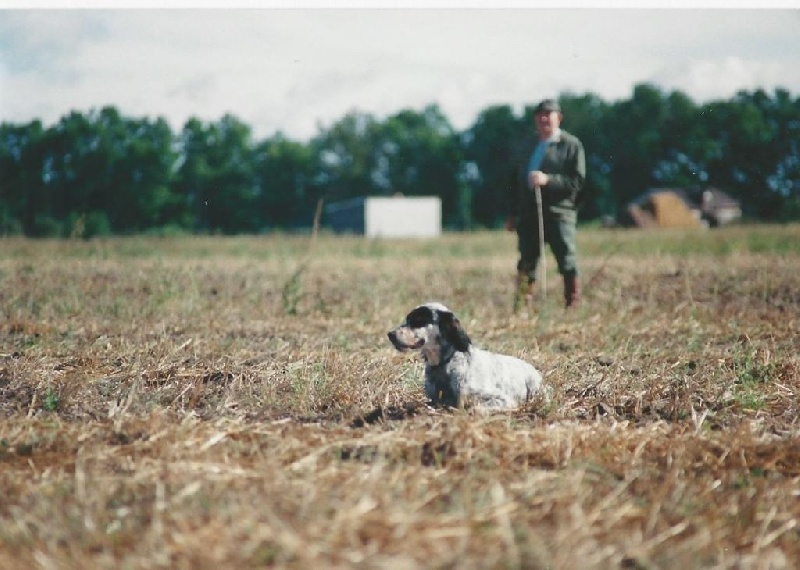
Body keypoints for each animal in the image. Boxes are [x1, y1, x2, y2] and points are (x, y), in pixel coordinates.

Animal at [386, 302, 548, 408]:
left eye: (419, 320)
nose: (390, 334)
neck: (444, 364)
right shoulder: (434, 400)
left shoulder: (503, 399)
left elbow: (475, 408)